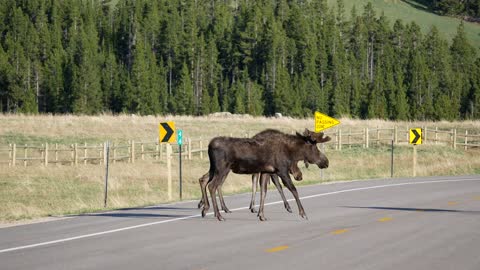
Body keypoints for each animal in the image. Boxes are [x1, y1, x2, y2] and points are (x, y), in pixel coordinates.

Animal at [200, 129, 330, 221]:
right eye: (315, 148)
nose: (326, 161)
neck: (290, 152)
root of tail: (209, 145)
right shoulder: (281, 170)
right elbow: (293, 190)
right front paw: (303, 213)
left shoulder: (267, 171)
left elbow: (263, 191)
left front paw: (261, 215)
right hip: (222, 169)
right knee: (212, 186)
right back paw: (218, 215)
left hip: (215, 168)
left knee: (204, 180)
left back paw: (205, 209)